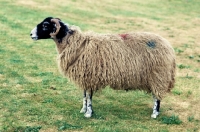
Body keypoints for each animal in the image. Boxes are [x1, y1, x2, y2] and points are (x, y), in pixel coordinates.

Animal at [29, 16, 175, 118]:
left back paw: (155, 113)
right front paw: (83, 110)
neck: (74, 43)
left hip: (158, 75)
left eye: (46, 25)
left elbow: (89, 97)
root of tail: (169, 47)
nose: (30, 34)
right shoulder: (85, 77)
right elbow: (84, 96)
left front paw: (88, 113)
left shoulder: (89, 76)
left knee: (157, 97)